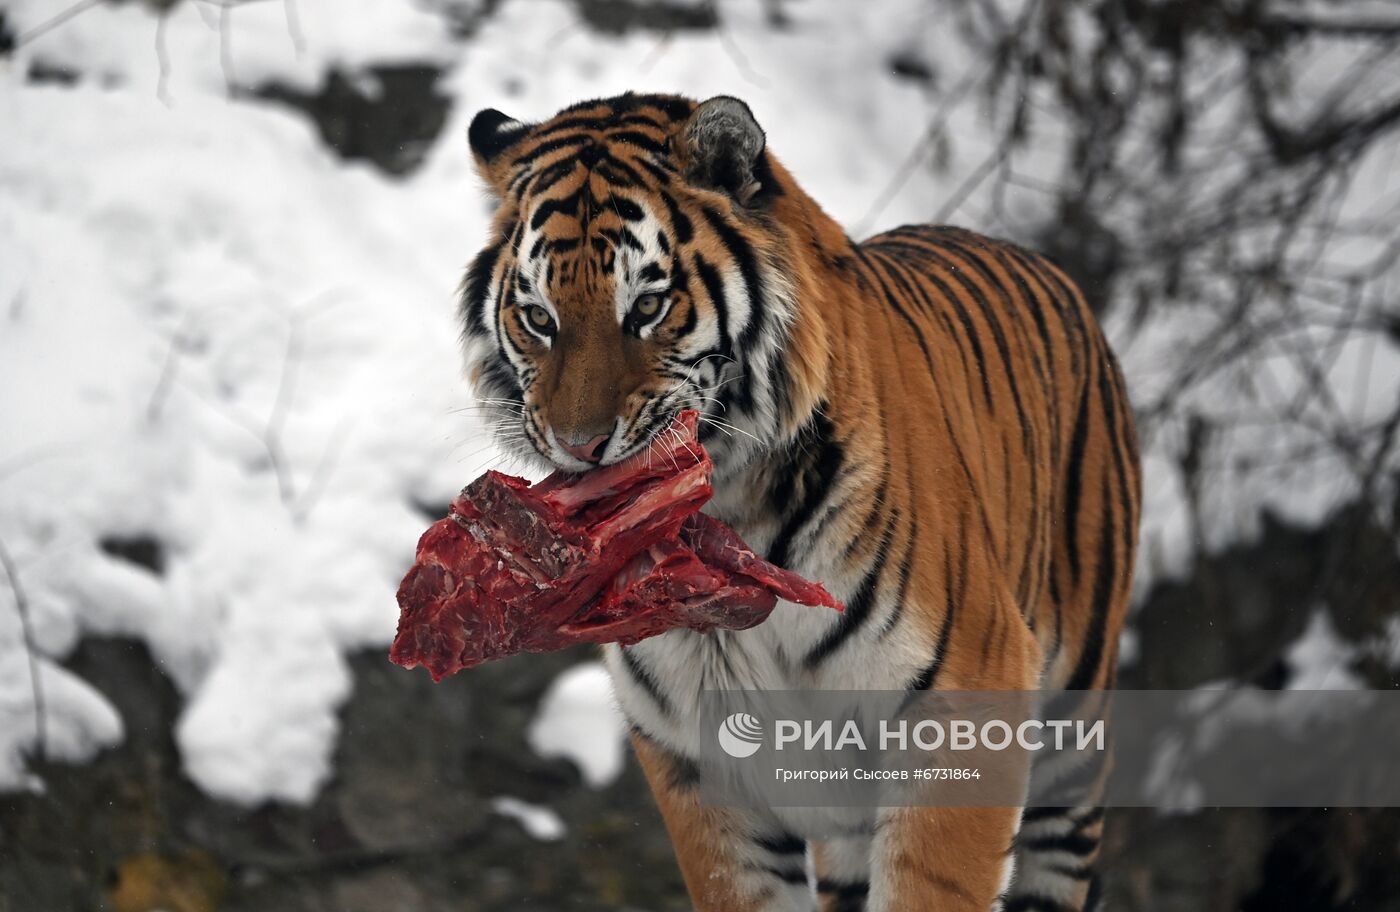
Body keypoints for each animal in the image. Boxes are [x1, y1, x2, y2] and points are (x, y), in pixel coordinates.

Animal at [456, 89, 1136, 907]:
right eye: (539, 318)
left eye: (647, 307)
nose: (579, 446)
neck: (720, 516)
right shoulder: (698, 759)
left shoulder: (969, 697)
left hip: (1074, 726)